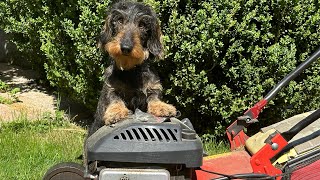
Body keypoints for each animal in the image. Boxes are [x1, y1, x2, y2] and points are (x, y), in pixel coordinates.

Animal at [89, 0, 176, 135]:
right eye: (120, 20)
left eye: (142, 25)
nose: (125, 47)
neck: (130, 69)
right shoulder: (110, 88)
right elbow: (114, 99)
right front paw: (116, 112)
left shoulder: (153, 87)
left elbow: (154, 97)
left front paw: (162, 106)